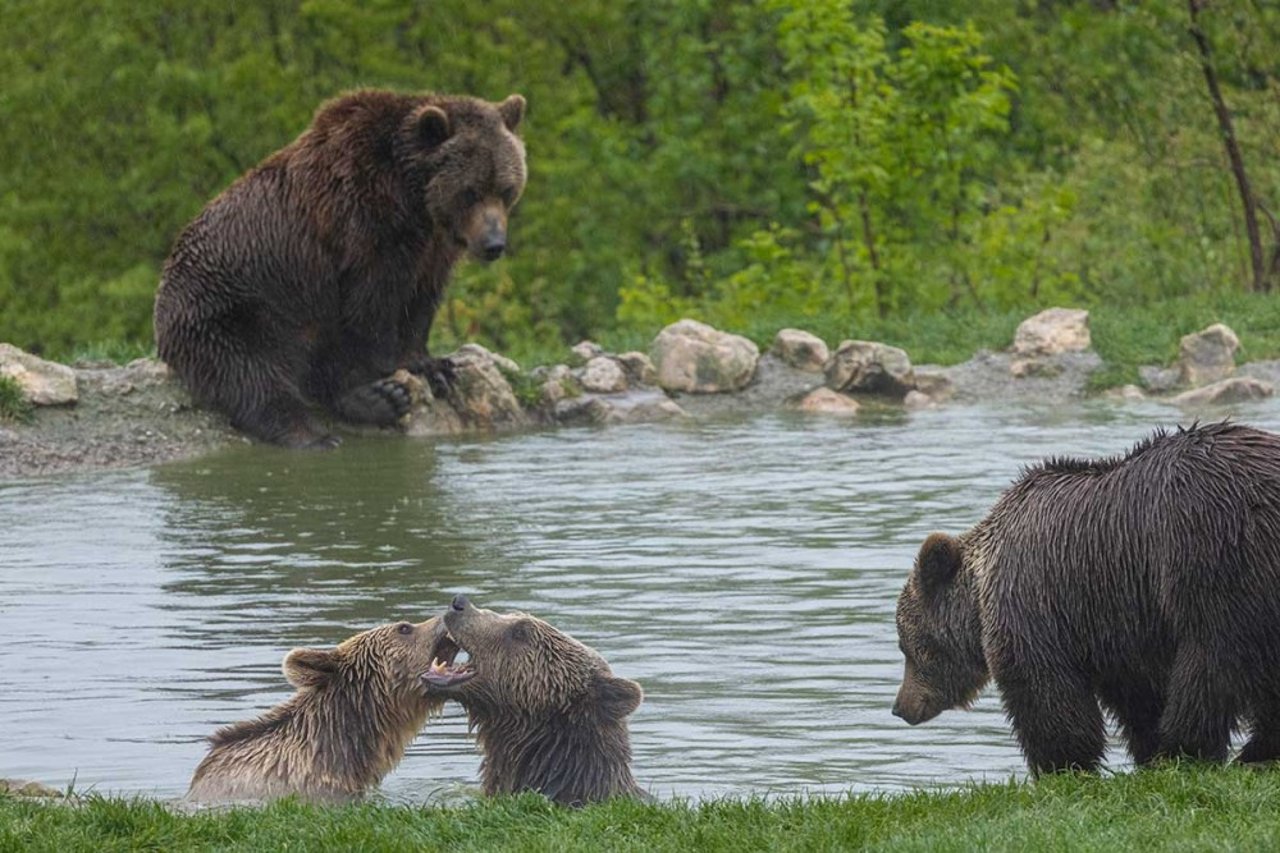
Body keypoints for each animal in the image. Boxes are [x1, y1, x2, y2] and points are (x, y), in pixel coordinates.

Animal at [153, 89, 524, 448]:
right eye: (470, 192)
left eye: (506, 189)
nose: (493, 244)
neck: (415, 199)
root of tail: (166, 282)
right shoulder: (364, 223)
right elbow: (374, 302)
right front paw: (395, 364)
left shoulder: (433, 248)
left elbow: (421, 299)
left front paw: (432, 364)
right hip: (233, 310)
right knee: (250, 372)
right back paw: (318, 433)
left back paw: (375, 400)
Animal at [896, 422, 1280, 773]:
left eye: (907, 645)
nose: (900, 707)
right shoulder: (1117, 620)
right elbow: (1138, 693)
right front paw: (1146, 748)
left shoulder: (1035, 599)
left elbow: (1041, 685)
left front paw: (1061, 763)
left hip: (1212, 553)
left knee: (1210, 659)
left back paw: (1189, 746)